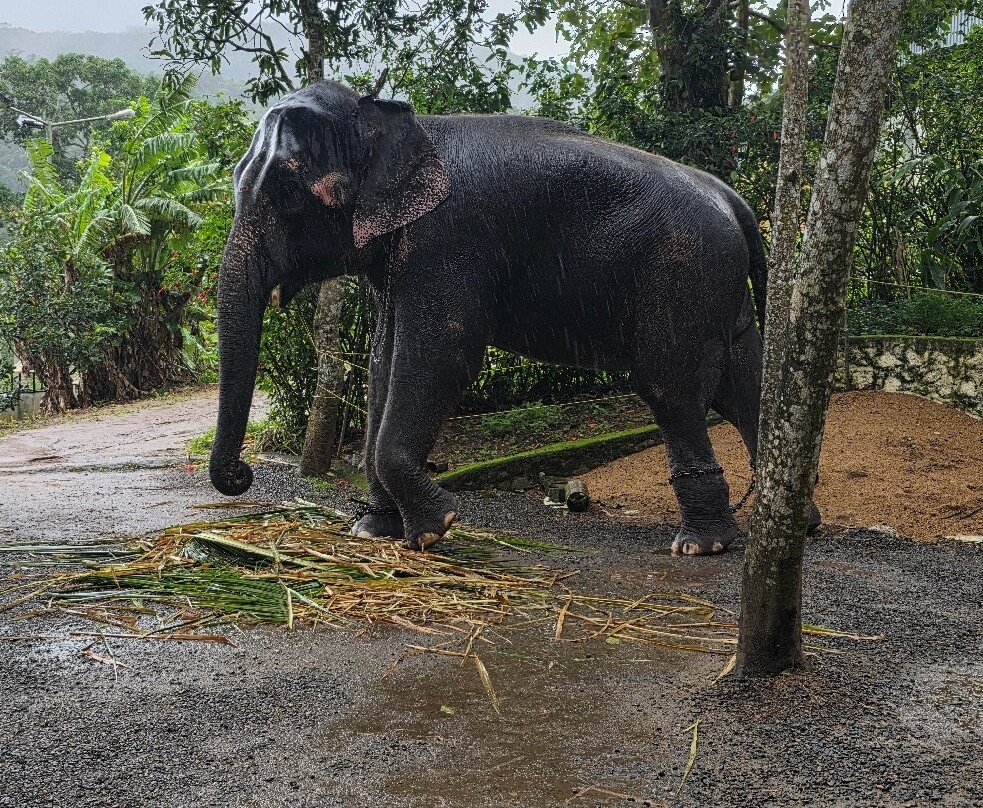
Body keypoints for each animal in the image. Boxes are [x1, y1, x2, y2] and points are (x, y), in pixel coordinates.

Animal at [209, 79, 821, 555]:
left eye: (288, 190)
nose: (242, 475)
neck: (392, 120)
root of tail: (735, 200)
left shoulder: (448, 241)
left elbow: (442, 354)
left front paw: (435, 528)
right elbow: (384, 363)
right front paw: (374, 531)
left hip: (684, 274)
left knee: (673, 388)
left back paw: (701, 545)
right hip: (718, 288)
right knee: (745, 385)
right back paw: (794, 526)